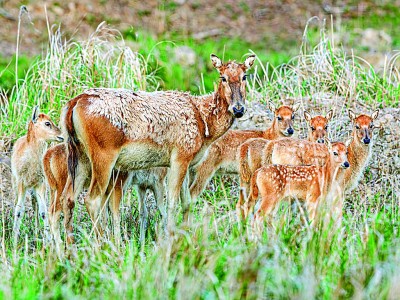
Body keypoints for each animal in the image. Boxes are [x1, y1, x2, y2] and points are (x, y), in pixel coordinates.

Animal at [11, 106, 63, 245]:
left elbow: (43, 212)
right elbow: (18, 211)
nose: (61, 135)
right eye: (47, 123)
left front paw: (48, 241)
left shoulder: (40, 184)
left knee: (35, 207)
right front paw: (14, 241)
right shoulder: (21, 183)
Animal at [62, 53, 256, 237]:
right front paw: (170, 237)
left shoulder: (186, 162)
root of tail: (73, 104)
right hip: (103, 154)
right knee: (91, 199)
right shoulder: (180, 155)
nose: (238, 109)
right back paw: (102, 243)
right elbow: (172, 203)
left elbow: (187, 202)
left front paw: (185, 235)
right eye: (222, 77)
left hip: (79, 155)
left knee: (67, 198)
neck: (204, 123)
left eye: (244, 76)